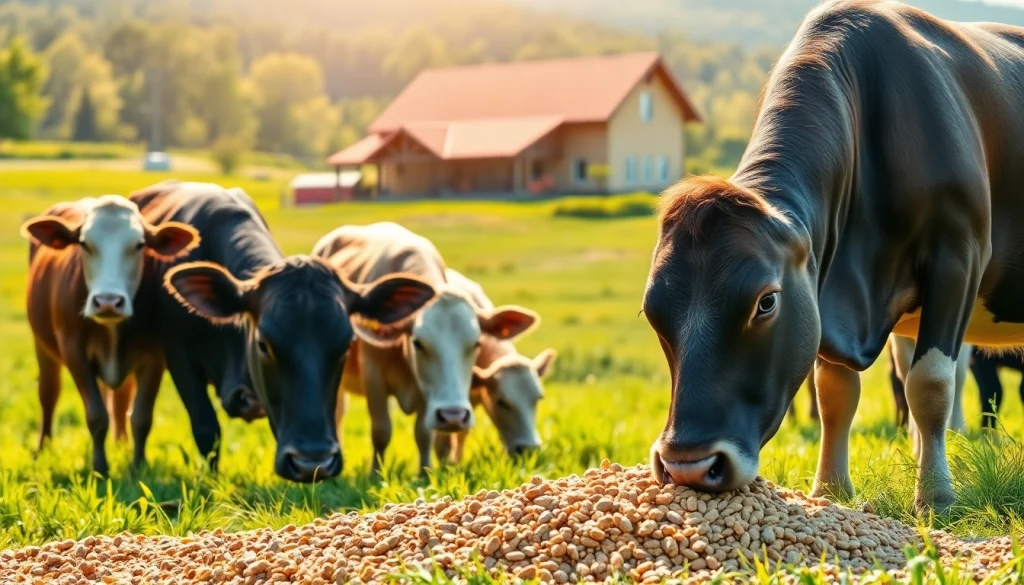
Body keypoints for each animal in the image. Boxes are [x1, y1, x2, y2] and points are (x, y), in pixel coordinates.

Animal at [23, 195, 199, 475]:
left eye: (139, 245)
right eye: (84, 243)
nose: (107, 302)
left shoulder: (154, 357)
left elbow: (141, 417)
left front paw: (138, 466)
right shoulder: (74, 351)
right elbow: (96, 415)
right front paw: (100, 467)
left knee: (119, 400)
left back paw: (121, 445)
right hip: (42, 345)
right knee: (49, 395)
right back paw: (43, 450)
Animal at [134, 182, 436, 482]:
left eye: (346, 345)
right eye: (263, 345)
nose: (312, 462)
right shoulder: (179, 356)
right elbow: (207, 428)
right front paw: (211, 481)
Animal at [312, 222, 539, 476]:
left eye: (476, 344)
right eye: (418, 343)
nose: (453, 416)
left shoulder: (430, 394)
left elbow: (424, 433)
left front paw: (424, 473)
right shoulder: (373, 377)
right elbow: (381, 430)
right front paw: (376, 474)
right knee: (338, 414)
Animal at [641, 0, 1024, 513]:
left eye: (766, 301)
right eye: (652, 310)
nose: (690, 465)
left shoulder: (958, 257)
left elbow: (931, 382)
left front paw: (936, 497)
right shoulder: (829, 291)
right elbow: (835, 395)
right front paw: (831, 490)